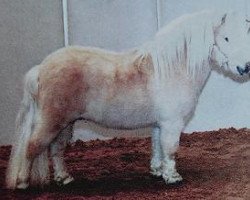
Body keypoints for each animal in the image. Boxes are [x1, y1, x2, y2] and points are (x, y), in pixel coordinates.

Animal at [5, 10, 250, 189]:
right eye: (226, 38)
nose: (245, 67)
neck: (173, 67)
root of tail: (41, 68)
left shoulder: (159, 124)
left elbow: (157, 147)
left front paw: (157, 171)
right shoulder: (172, 123)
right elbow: (170, 149)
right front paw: (173, 177)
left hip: (65, 124)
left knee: (56, 149)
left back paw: (64, 178)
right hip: (51, 122)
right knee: (32, 146)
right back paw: (23, 182)